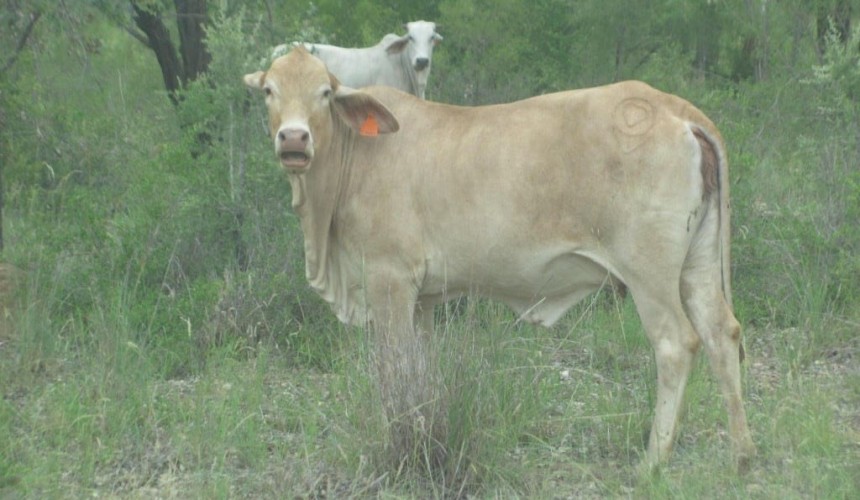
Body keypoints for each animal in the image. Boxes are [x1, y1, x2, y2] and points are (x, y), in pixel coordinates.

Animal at [243, 47, 756, 473]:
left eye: (325, 93)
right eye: (269, 90)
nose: (294, 138)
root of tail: (673, 107)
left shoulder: (389, 279)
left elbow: (395, 367)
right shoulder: (422, 296)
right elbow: (419, 368)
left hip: (649, 272)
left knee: (676, 344)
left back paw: (653, 460)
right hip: (697, 266)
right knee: (721, 333)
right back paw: (741, 454)